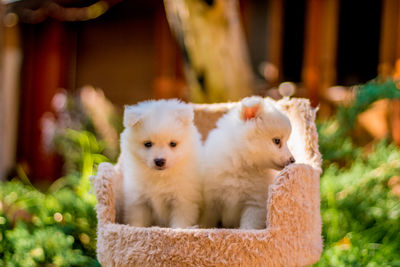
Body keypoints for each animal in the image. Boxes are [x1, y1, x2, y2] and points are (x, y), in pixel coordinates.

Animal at [120, 99, 202, 229]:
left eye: (173, 144)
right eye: (148, 144)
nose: (159, 161)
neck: (160, 177)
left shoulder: (183, 201)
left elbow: (180, 223)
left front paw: (178, 231)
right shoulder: (139, 201)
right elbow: (138, 222)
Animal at [202, 96, 296, 230]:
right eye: (277, 141)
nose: (293, 160)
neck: (242, 164)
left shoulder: (254, 204)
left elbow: (248, 227)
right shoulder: (211, 202)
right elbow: (206, 223)